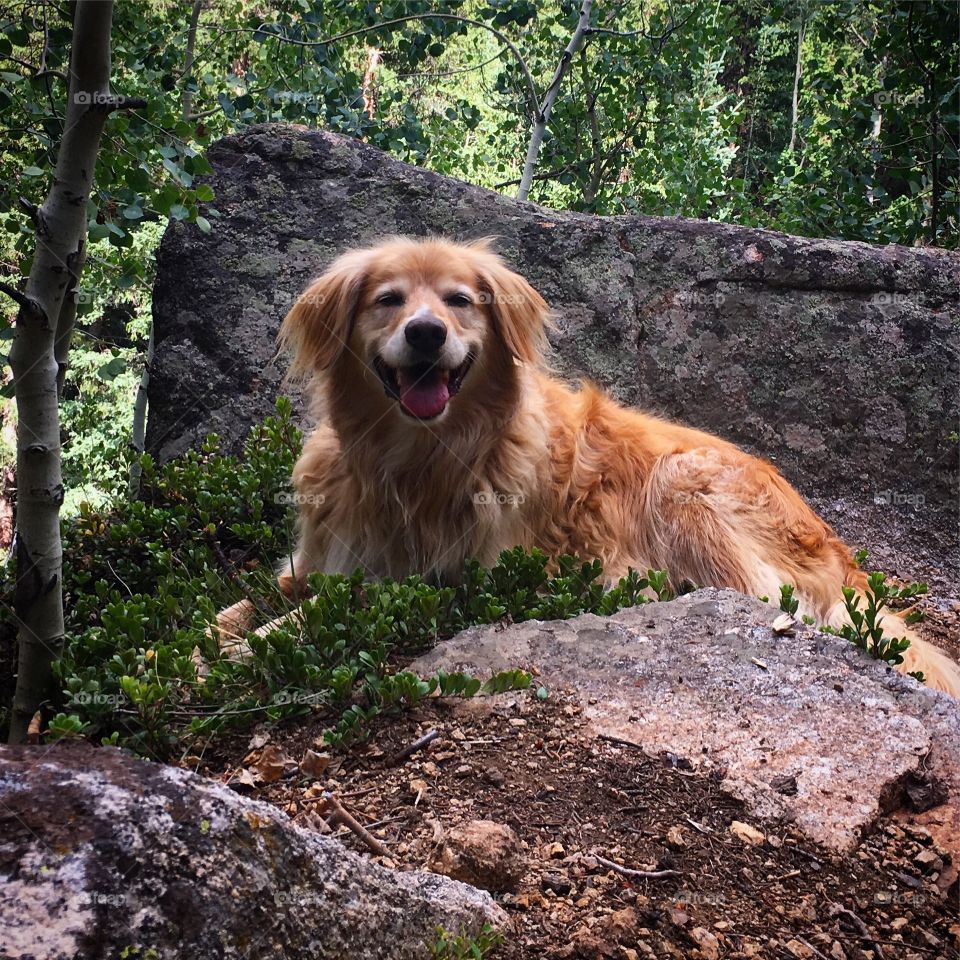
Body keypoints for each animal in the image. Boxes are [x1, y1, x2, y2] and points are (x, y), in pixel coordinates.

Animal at [216, 235, 960, 692]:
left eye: (460, 300)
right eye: (388, 299)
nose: (426, 333)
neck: (410, 464)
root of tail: (844, 555)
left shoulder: (450, 577)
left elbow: (305, 618)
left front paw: (225, 654)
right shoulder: (318, 561)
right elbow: (243, 603)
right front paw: (213, 633)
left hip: (683, 484)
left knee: (761, 598)